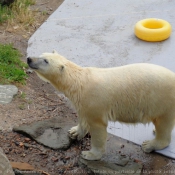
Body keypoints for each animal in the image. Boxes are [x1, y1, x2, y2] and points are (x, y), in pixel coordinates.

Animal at [26, 50, 175, 160]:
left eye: (45, 61)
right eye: (41, 54)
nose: (29, 59)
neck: (79, 82)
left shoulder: (94, 102)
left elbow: (97, 128)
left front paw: (90, 154)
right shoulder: (83, 102)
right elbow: (82, 117)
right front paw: (74, 132)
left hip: (164, 101)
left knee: (163, 124)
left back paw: (149, 144)